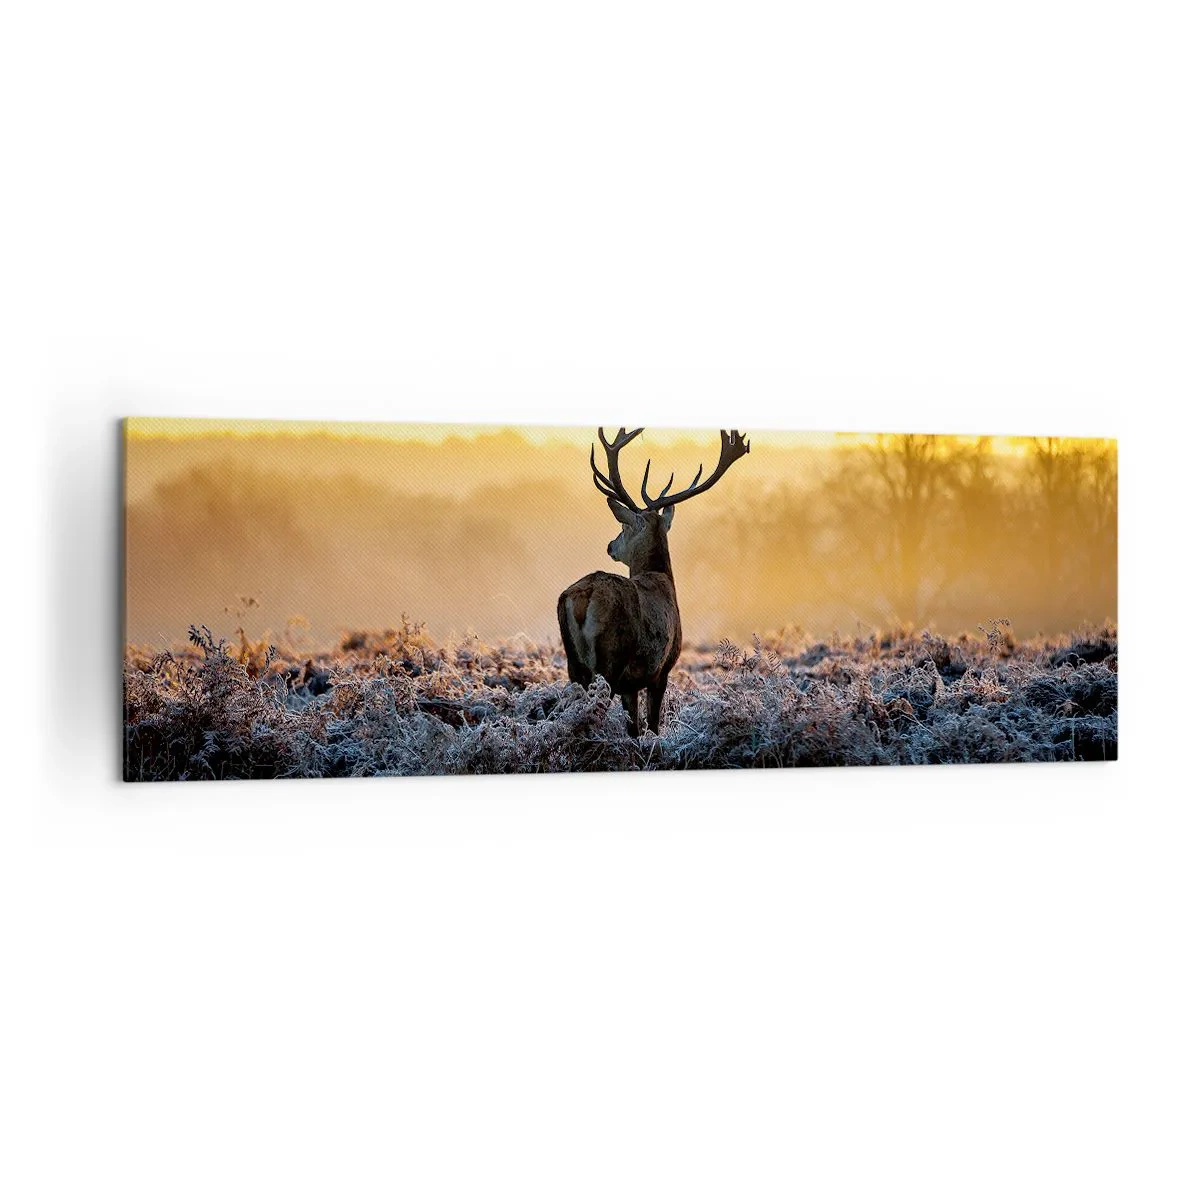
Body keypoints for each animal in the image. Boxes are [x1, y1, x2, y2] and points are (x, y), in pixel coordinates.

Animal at [557, 427, 751, 737]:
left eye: (623, 527)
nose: (610, 546)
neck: (661, 577)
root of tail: (583, 597)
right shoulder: (661, 670)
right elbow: (653, 725)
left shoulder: (632, 684)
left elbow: (634, 727)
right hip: (610, 659)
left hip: (573, 663)